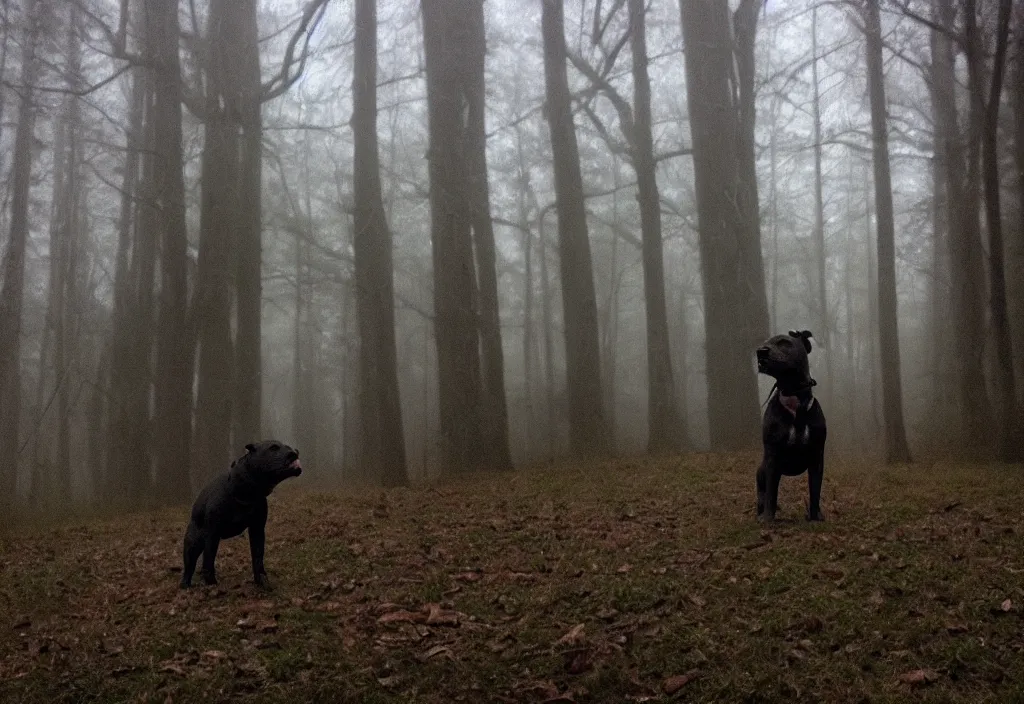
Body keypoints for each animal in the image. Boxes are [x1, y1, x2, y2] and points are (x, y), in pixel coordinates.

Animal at [180, 440, 301, 589]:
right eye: (273, 448)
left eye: (288, 447)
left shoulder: (257, 529)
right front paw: (211, 583)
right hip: (193, 543)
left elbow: (258, 558)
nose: (294, 453)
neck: (244, 491)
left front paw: (262, 581)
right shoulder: (212, 533)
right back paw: (185, 585)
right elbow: (208, 560)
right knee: (189, 567)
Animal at [757, 331, 827, 521]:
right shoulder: (772, 457)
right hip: (761, 471)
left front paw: (815, 518)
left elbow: (815, 491)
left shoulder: (817, 457)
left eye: (784, 342)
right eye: (765, 342)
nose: (761, 351)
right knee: (762, 492)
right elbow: (771, 493)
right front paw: (768, 519)